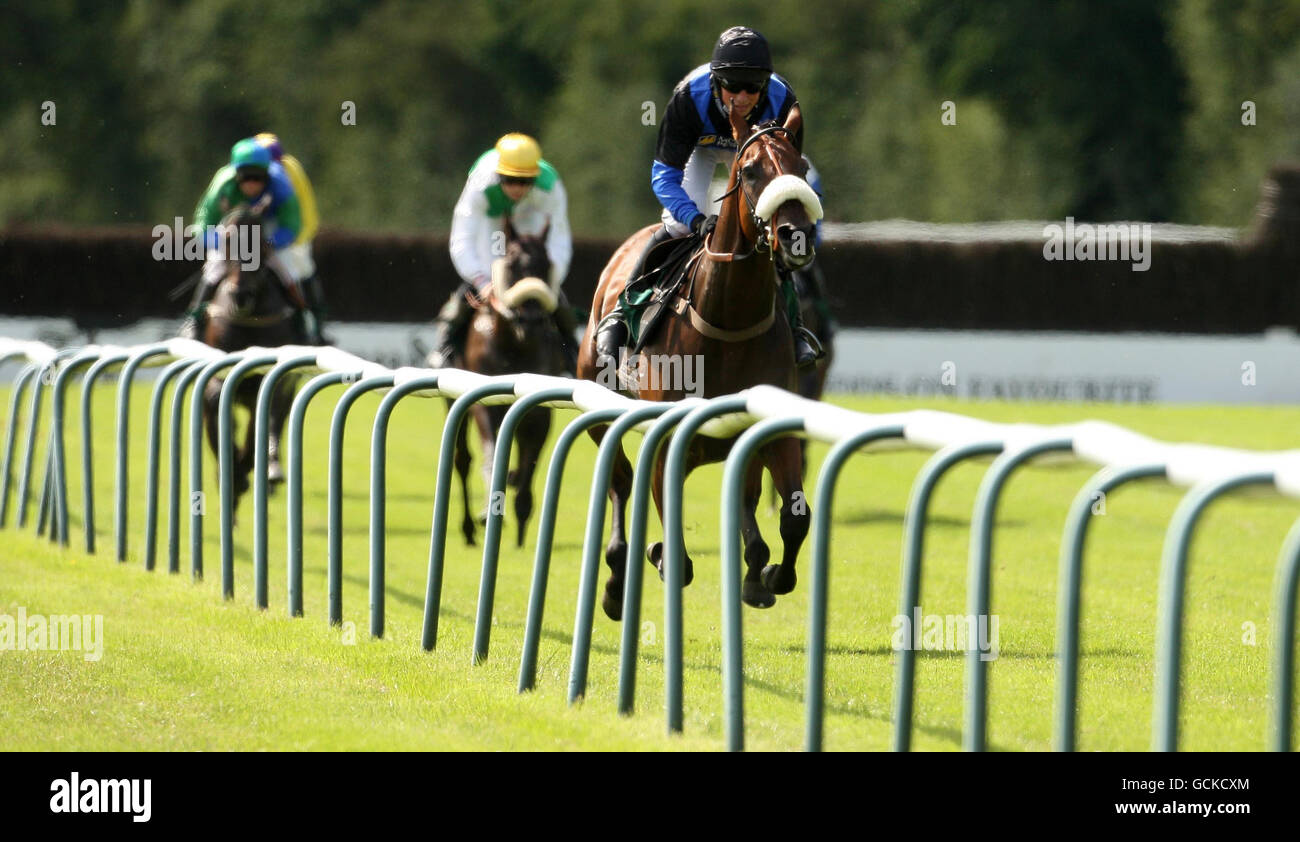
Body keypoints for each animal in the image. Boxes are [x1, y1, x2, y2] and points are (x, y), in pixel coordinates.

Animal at [197, 209, 304, 511]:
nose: (240, 295)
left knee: (276, 419)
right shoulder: (219, 372)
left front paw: (244, 469)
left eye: (262, 244)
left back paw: (271, 469)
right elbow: (216, 403)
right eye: (227, 240)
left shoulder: (268, 380)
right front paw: (230, 471)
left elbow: (262, 420)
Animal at [449, 216, 566, 545]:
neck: (515, 345)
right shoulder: (484, 405)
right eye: (512, 265)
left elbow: (529, 466)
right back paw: (468, 527)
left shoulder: (539, 412)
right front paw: (488, 512)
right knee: (462, 460)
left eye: (546, 264)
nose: (530, 319)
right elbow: (490, 456)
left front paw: (522, 518)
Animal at [579, 103, 821, 618]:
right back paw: (616, 579)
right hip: (598, 404)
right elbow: (666, 519)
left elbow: (795, 517)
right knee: (620, 480)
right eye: (750, 171)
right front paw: (659, 555)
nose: (795, 237)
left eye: (802, 168)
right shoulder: (667, 433)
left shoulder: (773, 427)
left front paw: (769, 575)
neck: (728, 322)